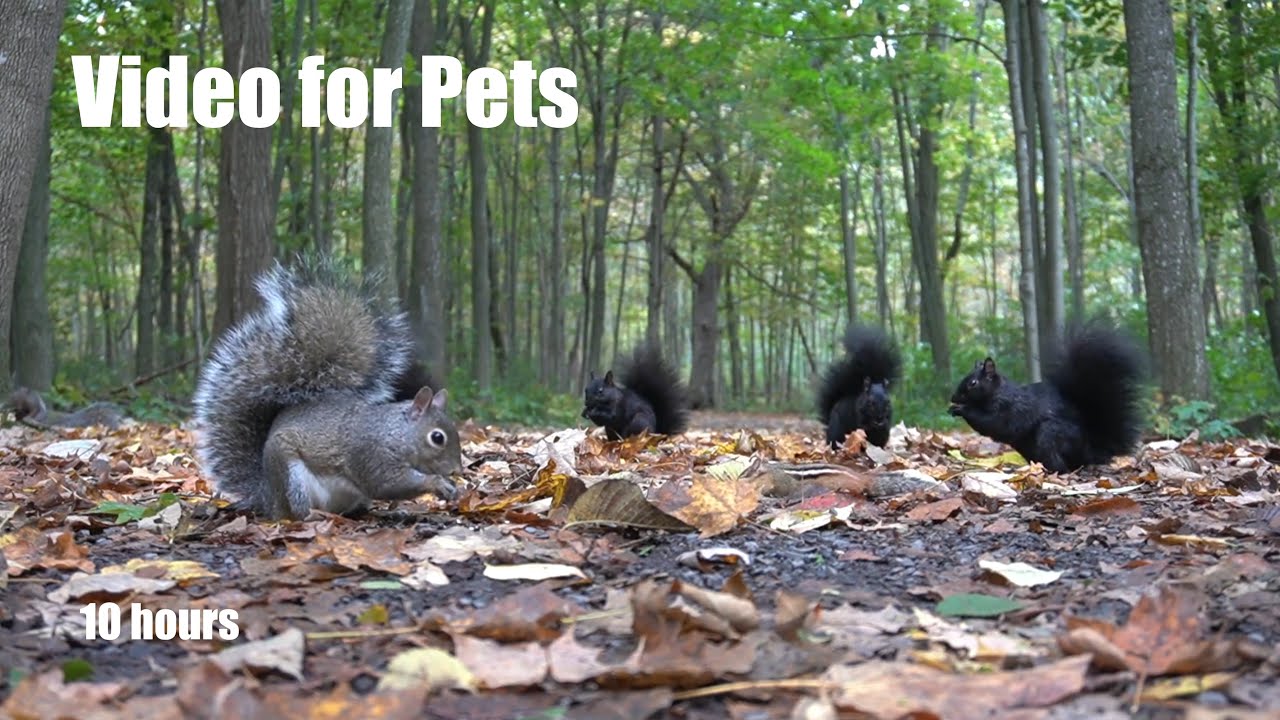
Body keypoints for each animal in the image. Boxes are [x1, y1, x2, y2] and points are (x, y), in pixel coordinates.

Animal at [192, 259, 462, 520]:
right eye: (437, 437)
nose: (456, 470)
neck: (395, 433)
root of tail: (267, 496)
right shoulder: (370, 455)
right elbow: (387, 484)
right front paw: (437, 483)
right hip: (291, 477)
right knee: (295, 513)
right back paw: (313, 516)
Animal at [948, 324, 1144, 473]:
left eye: (973, 383)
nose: (953, 397)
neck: (999, 392)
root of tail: (1090, 450)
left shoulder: (1008, 408)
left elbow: (992, 423)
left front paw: (961, 409)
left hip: (1051, 434)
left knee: (1062, 464)